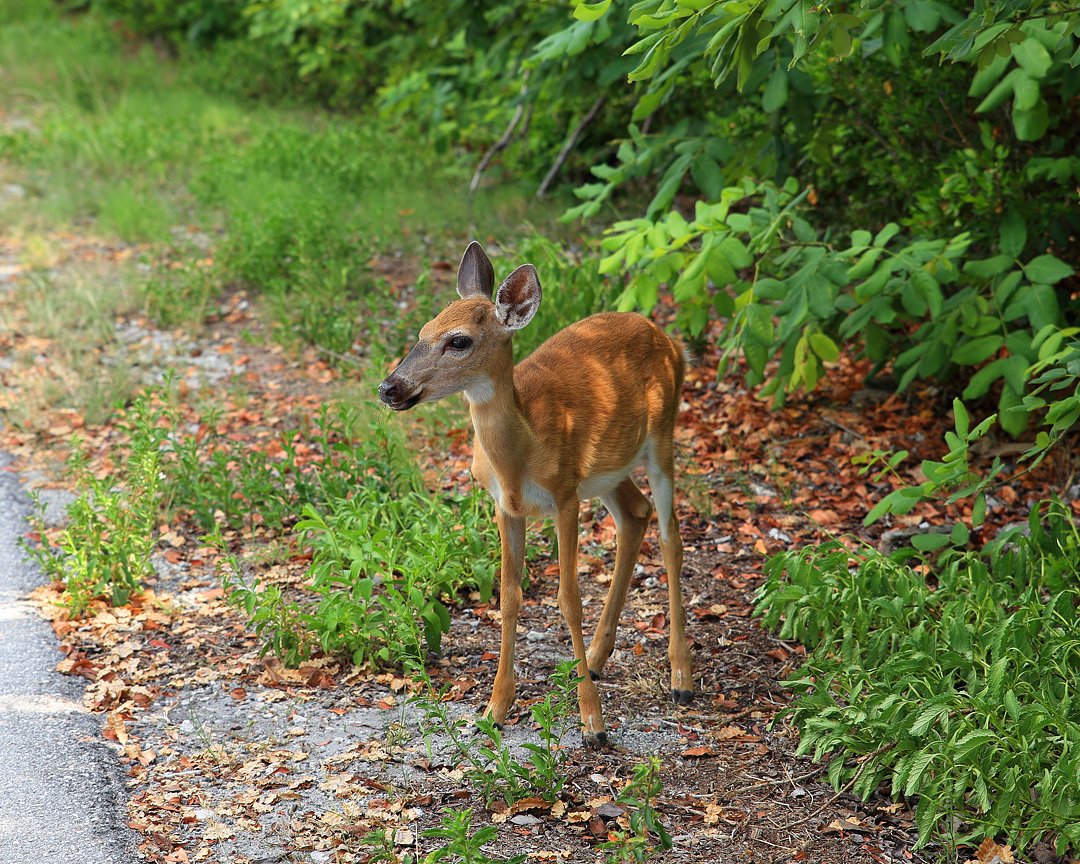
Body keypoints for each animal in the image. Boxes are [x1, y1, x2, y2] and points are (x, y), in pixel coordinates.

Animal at [377, 241, 692, 748]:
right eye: (423, 331)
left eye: (458, 341)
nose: (389, 388)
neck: (520, 454)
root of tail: (670, 340)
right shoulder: (506, 508)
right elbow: (509, 597)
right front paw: (494, 709)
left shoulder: (565, 497)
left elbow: (568, 599)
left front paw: (593, 723)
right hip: (606, 471)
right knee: (635, 512)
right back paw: (597, 660)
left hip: (662, 437)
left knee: (671, 538)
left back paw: (681, 677)